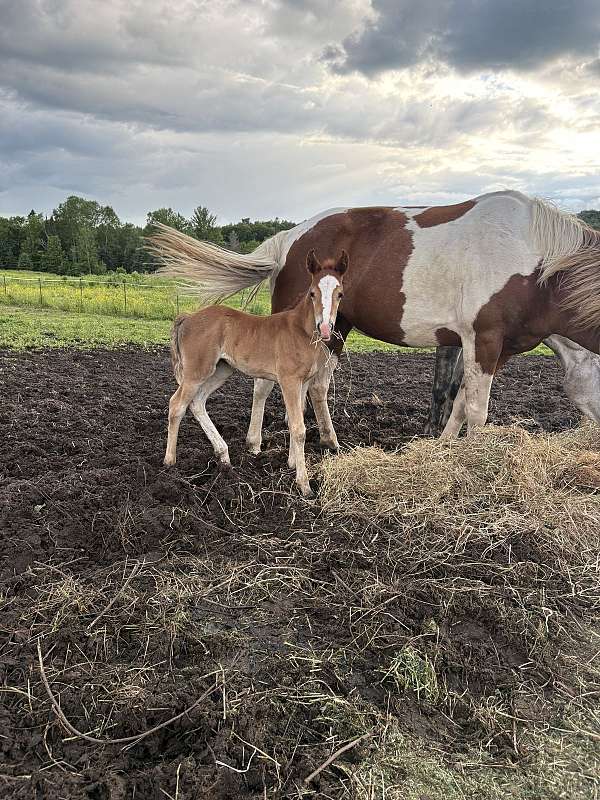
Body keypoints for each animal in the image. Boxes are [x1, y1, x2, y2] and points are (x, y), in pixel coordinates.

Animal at [162, 248, 348, 497]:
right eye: (312, 293)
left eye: (340, 294)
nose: (326, 328)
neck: (301, 330)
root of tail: (188, 317)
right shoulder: (289, 380)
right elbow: (299, 428)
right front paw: (304, 484)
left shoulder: (304, 382)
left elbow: (296, 420)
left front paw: (291, 463)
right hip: (197, 371)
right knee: (177, 405)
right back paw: (170, 461)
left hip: (222, 370)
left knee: (197, 402)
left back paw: (224, 456)